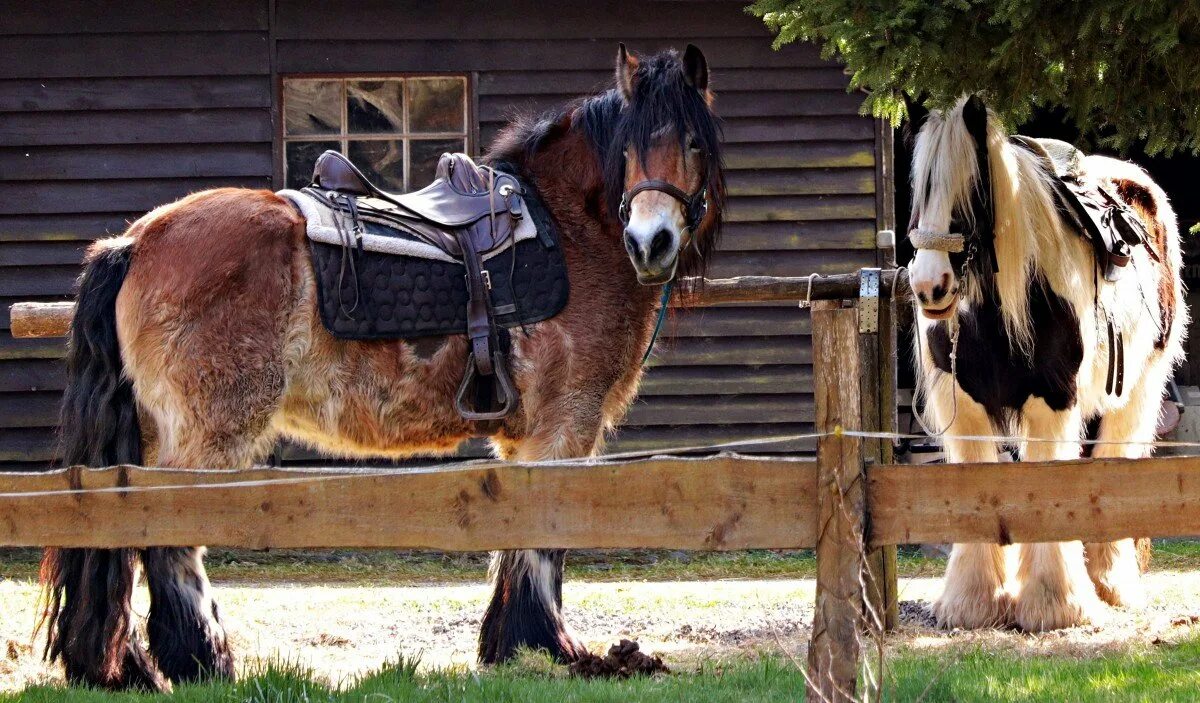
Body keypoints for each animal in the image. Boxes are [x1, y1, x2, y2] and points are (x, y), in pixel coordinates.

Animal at [39, 45, 720, 691]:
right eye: (629, 147)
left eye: (692, 140)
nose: (651, 243)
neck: (568, 228)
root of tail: (134, 242)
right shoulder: (564, 425)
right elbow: (544, 537)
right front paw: (550, 648)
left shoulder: (526, 438)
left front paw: (509, 647)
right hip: (206, 436)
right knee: (168, 538)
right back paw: (204, 661)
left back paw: (129, 667)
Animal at [907, 94, 1180, 628]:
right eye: (919, 191)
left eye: (970, 190)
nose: (929, 286)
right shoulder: (965, 409)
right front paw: (973, 602)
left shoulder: (1051, 401)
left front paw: (1056, 604)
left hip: (1136, 394)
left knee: (1113, 462)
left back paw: (1107, 583)